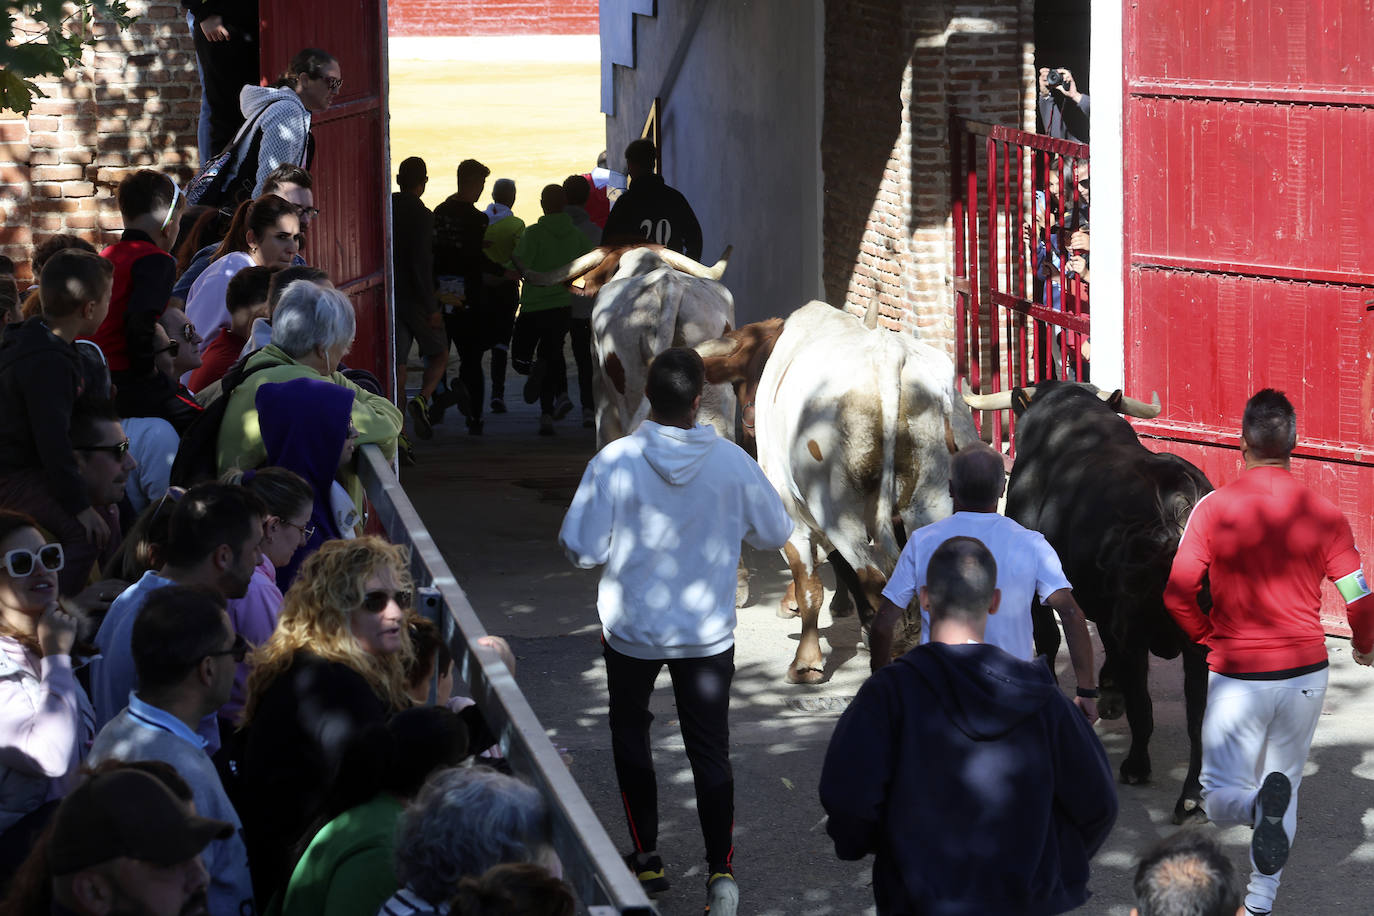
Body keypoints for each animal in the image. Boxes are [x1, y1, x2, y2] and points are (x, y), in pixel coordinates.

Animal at [697, 300, 978, 681]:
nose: (749, 421)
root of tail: (889, 355)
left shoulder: (791, 513)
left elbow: (809, 585)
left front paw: (806, 662)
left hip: (840, 511)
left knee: (875, 579)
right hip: (929, 502)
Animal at [1000, 384, 1214, 829]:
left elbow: (1048, 638)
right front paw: (1110, 692)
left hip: (1136, 627)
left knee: (1152, 705)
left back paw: (1140, 767)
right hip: (1192, 640)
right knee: (1197, 715)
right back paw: (1191, 796)